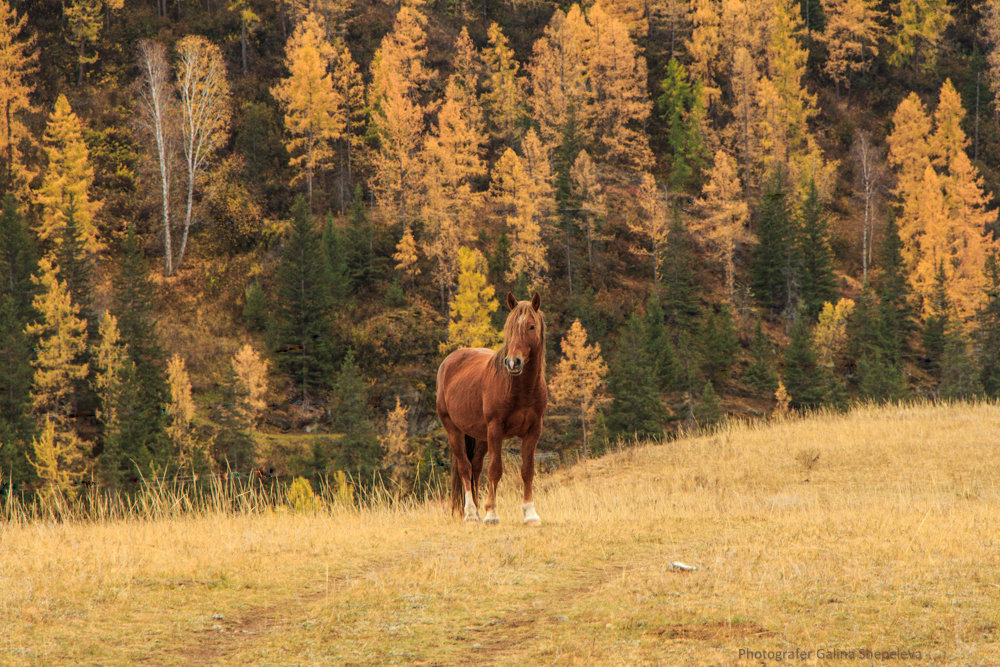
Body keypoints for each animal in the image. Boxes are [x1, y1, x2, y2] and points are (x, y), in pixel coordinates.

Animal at [436, 292, 548, 528]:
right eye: (509, 328)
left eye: (531, 326)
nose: (513, 363)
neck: (520, 389)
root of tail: (448, 362)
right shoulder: (496, 429)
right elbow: (495, 470)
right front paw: (491, 514)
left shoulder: (533, 431)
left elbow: (527, 470)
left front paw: (530, 514)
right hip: (455, 431)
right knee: (465, 468)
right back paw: (471, 513)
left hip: (481, 437)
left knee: (475, 469)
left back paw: (477, 511)